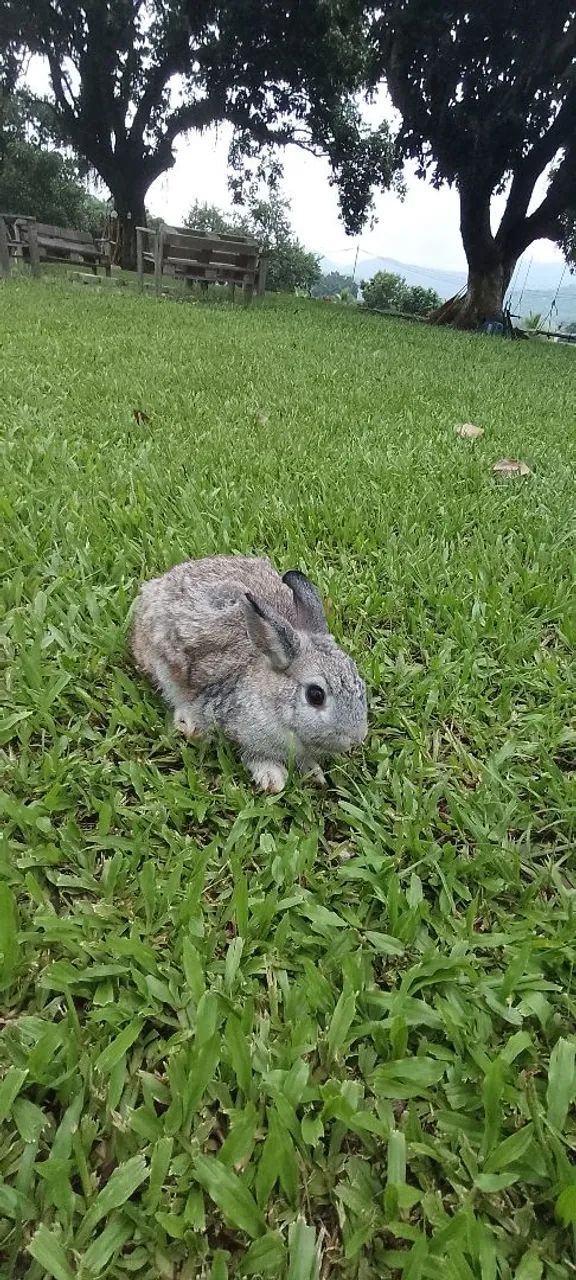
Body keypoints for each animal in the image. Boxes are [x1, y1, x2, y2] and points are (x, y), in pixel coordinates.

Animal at [130, 555, 367, 792]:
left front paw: (313, 773)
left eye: (361, 684)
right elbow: (252, 755)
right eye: (315, 695)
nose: (357, 737)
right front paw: (273, 779)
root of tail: (156, 586)